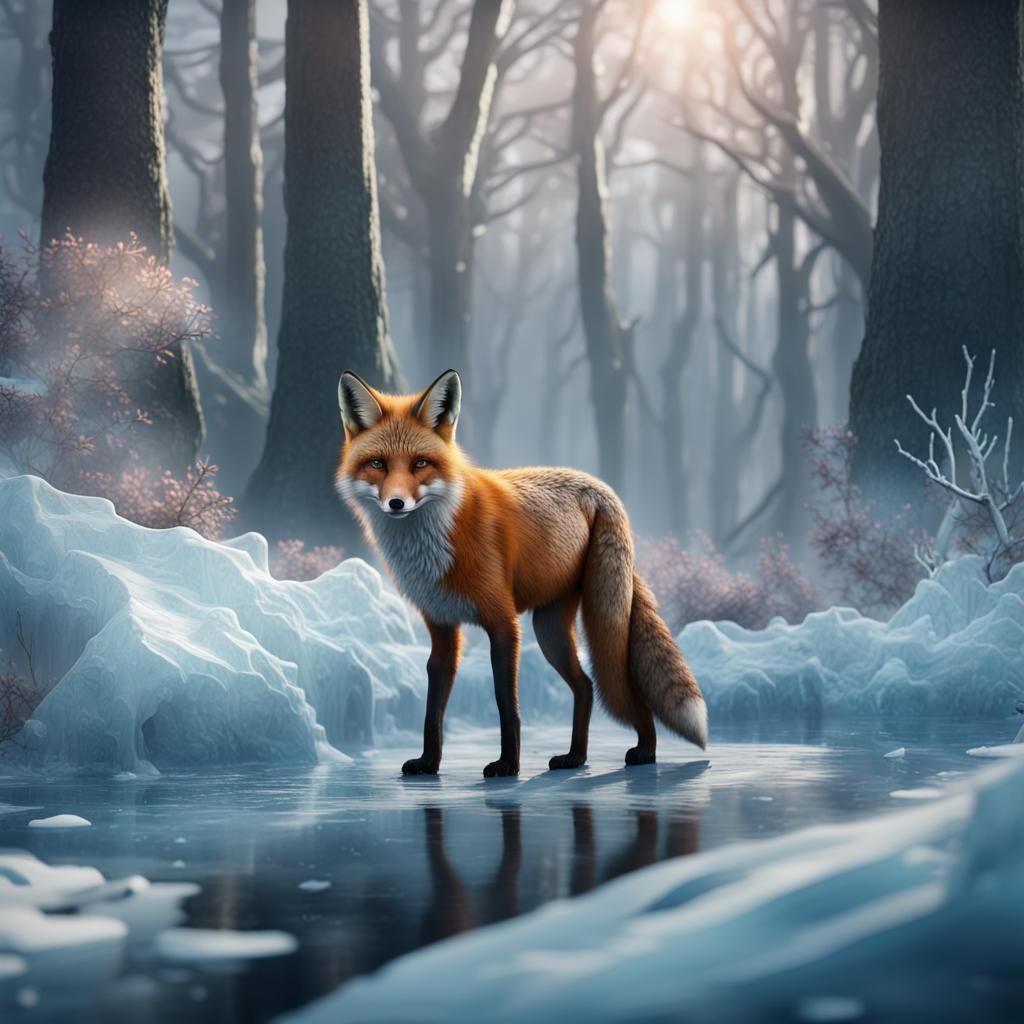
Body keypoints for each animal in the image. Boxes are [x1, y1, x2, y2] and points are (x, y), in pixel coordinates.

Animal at [335, 368, 708, 777]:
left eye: (420, 464)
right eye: (378, 464)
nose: (396, 503)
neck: (436, 542)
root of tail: (599, 486)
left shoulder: (503, 622)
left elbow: (506, 703)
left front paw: (508, 765)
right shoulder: (442, 626)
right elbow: (434, 709)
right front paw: (429, 763)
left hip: (598, 625)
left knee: (617, 686)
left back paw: (645, 750)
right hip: (549, 629)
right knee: (585, 686)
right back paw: (575, 757)